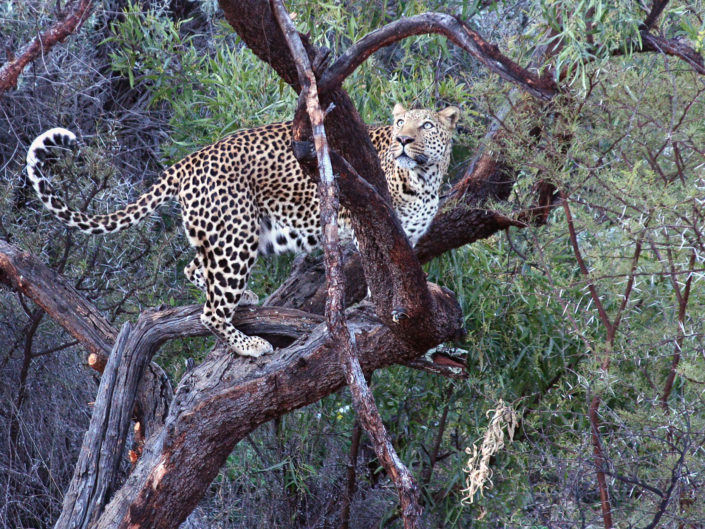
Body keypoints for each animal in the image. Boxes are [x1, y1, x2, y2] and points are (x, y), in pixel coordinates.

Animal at [26, 103, 459, 357]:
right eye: (400, 123)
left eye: (426, 125)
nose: (404, 139)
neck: (424, 178)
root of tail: (190, 160)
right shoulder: (364, 222)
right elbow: (376, 270)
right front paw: (380, 306)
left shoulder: (407, 236)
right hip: (237, 237)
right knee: (210, 312)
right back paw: (250, 344)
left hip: (229, 233)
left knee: (193, 269)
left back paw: (245, 299)